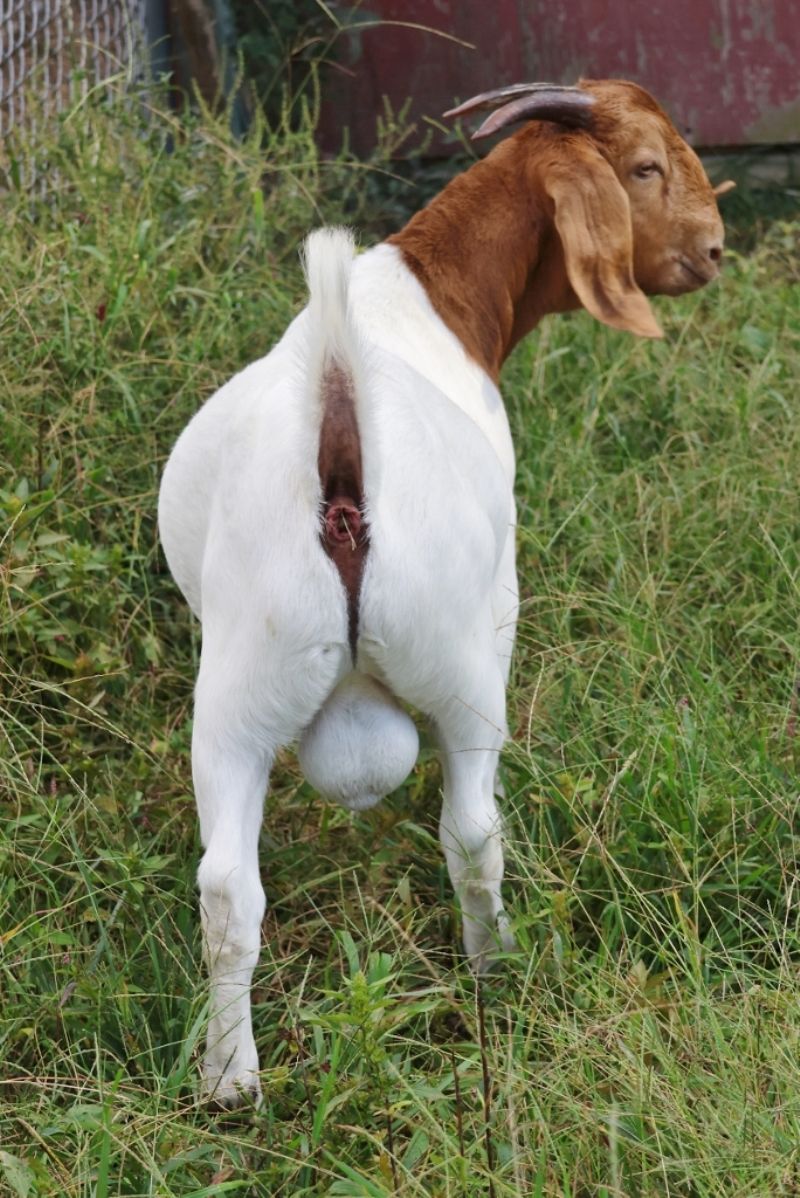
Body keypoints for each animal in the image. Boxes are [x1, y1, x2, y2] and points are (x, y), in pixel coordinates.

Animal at [158, 77, 732, 1102]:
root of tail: (340, 408)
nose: (711, 250)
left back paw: (230, 1078)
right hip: (462, 669)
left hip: (239, 682)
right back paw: (495, 969)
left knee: (226, 886)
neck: (424, 300)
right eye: (645, 165)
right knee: (470, 829)